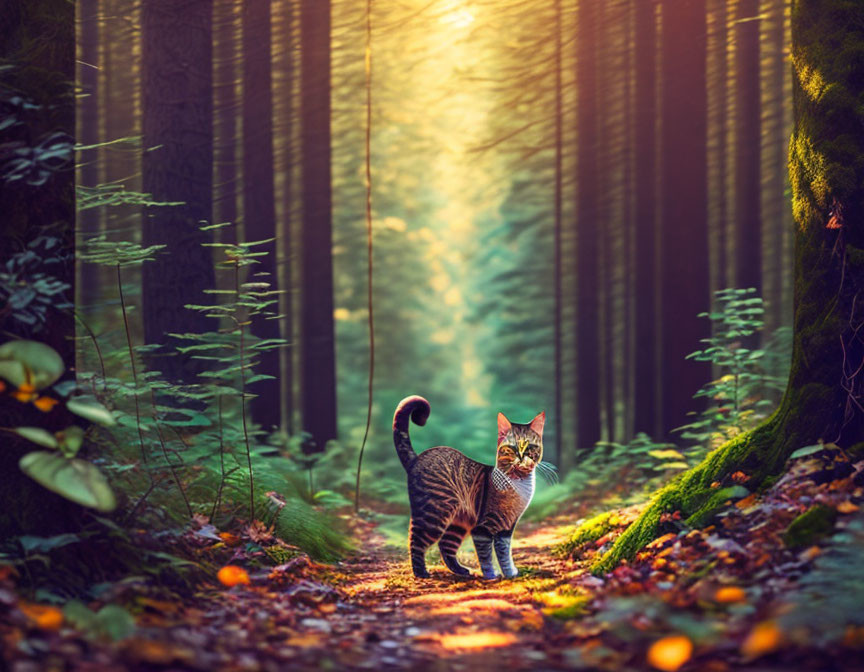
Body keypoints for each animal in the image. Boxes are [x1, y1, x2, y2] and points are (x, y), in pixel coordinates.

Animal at [394, 396, 548, 580]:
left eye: (530, 446)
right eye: (512, 448)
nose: (521, 456)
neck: (519, 486)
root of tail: (416, 459)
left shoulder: (507, 528)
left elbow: (504, 553)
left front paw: (510, 573)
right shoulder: (483, 528)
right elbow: (486, 555)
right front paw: (491, 575)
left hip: (459, 522)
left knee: (445, 545)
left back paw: (460, 570)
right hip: (434, 515)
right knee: (415, 542)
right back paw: (421, 573)